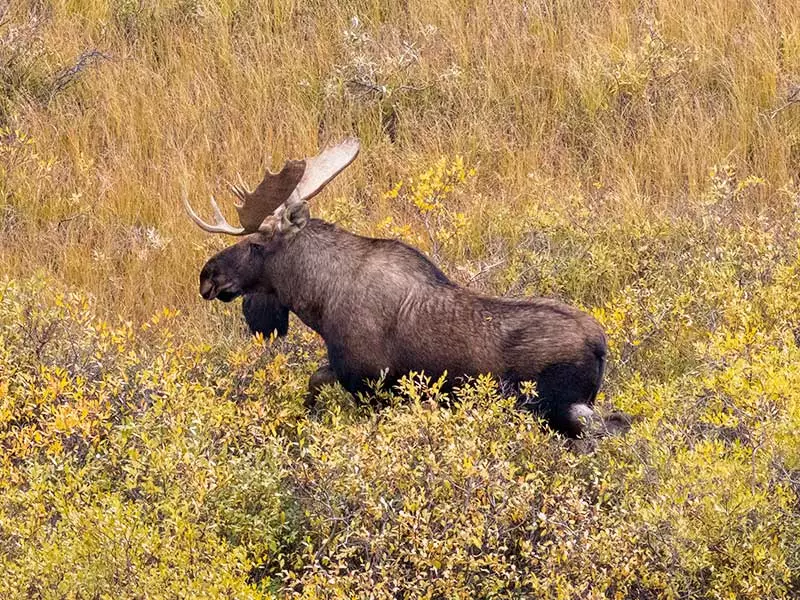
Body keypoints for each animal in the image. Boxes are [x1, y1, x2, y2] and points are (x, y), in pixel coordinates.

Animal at [186, 137, 612, 436]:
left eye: (256, 244)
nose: (208, 275)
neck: (319, 302)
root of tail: (600, 345)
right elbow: (315, 380)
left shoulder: (370, 382)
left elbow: (318, 382)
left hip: (559, 411)